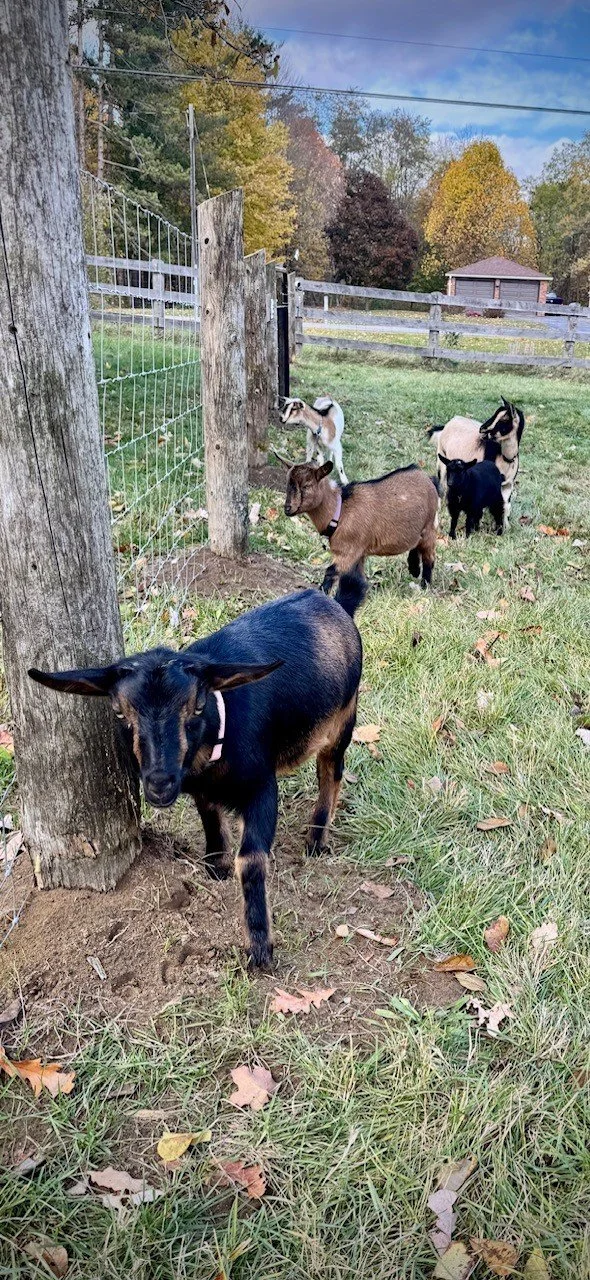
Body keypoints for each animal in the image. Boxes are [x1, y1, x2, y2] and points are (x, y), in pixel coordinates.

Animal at [29, 590, 362, 969]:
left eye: (198, 705)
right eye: (118, 711)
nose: (159, 782)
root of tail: (334, 601)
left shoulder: (262, 787)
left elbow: (250, 860)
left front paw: (260, 947)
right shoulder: (202, 789)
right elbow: (211, 821)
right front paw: (216, 867)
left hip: (343, 720)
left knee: (330, 773)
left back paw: (316, 840)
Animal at [278, 456, 440, 605]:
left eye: (306, 486)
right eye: (287, 483)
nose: (287, 508)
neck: (340, 510)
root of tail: (428, 478)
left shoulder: (349, 550)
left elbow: (331, 571)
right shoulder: (359, 553)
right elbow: (356, 579)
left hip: (430, 525)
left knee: (429, 557)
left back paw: (425, 585)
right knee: (416, 543)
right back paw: (414, 569)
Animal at [428, 398, 525, 528]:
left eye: (504, 419)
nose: (482, 429)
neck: (504, 457)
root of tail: (450, 422)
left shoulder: (508, 484)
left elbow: (506, 505)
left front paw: (505, 527)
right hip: (441, 459)